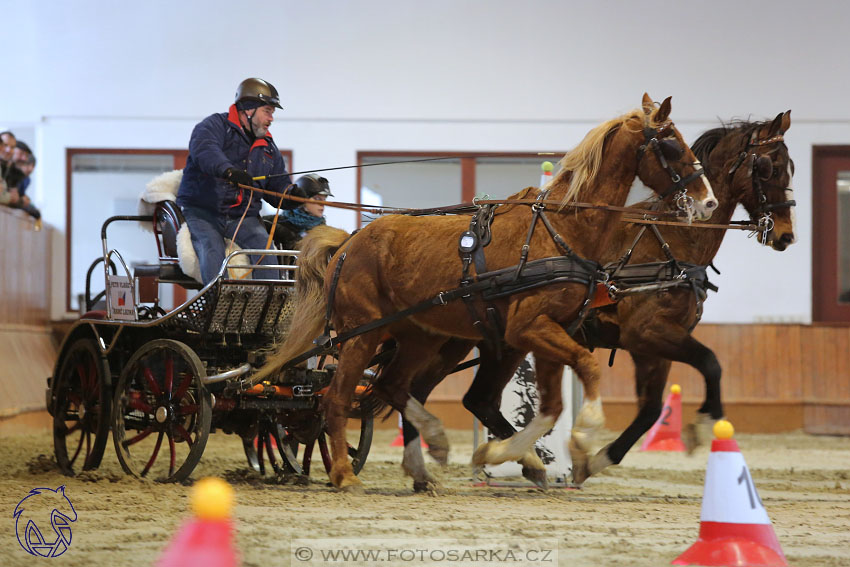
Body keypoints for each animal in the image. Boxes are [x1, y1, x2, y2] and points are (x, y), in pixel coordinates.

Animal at [252, 94, 716, 492]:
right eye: (671, 143)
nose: (707, 201)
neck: (563, 229)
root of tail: (348, 242)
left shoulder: (548, 333)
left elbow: (551, 405)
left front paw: (508, 455)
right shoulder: (532, 329)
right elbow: (587, 368)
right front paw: (585, 434)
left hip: (422, 337)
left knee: (393, 388)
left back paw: (429, 457)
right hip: (362, 334)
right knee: (337, 398)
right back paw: (346, 474)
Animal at [398, 112, 796, 492]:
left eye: (790, 166)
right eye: (768, 167)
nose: (786, 235)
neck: (671, 241)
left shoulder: (650, 346)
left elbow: (652, 408)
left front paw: (594, 460)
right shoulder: (647, 332)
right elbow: (711, 363)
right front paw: (704, 423)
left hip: (477, 341)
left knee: (445, 395)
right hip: (453, 340)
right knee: (412, 389)